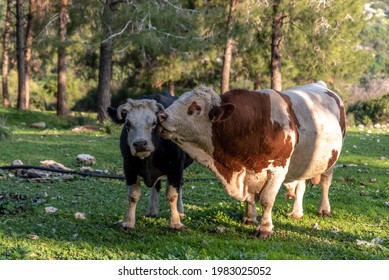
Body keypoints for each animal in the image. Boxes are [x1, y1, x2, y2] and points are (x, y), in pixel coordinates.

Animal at [107, 93, 192, 231]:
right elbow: (133, 195)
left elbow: (172, 195)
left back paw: (180, 211)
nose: (140, 144)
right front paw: (128, 222)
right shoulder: (129, 168)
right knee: (156, 186)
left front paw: (175, 222)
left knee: (179, 186)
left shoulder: (176, 168)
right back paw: (152, 210)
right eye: (127, 124)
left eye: (154, 123)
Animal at [158, 81, 346, 238]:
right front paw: (250, 218)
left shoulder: (278, 168)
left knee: (325, 182)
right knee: (300, 185)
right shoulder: (247, 171)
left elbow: (267, 199)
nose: (161, 116)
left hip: (331, 160)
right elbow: (250, 197)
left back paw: (324, 209)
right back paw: (296, 212)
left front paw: (264, 228)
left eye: (196, 107)